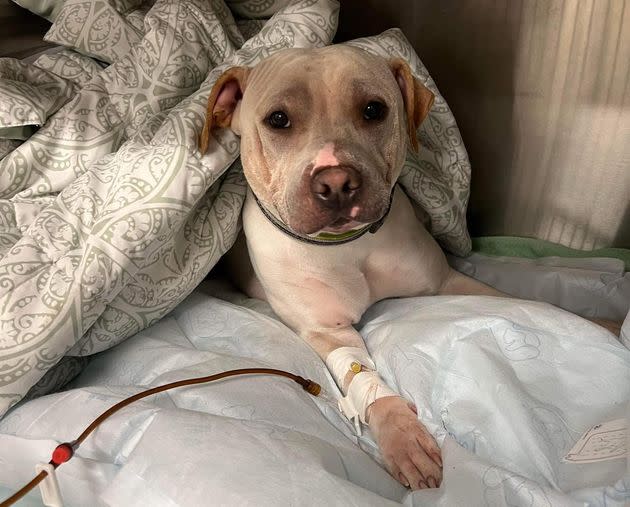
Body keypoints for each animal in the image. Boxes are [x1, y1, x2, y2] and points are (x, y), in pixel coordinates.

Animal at [201, 44, 624, 492]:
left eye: (373, 109)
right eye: (278, 119)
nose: (336, 182)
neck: (349, 247)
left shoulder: (445, 282)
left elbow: (528, 304)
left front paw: (603, 323)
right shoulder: (326, 331)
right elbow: (365, 379)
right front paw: (402, 437)